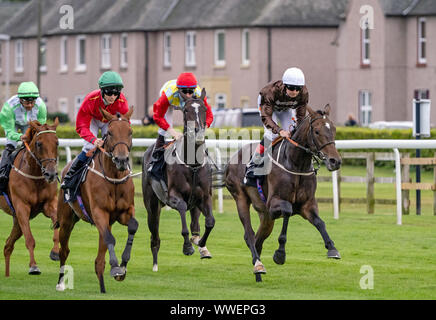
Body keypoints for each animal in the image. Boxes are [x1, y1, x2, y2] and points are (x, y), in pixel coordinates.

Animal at [0, 119, 60, 276]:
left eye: (57, 142)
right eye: (39, 143)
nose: (51, 174)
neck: (35, 176)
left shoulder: (49, 204)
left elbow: (56, 223)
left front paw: (55, 252)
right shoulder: (22, 207)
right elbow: (29, 239)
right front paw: (33, 266)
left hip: (16, 221)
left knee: (8, 245)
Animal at [55, 107, 138, 292]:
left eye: (130, 132)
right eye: (110, 133)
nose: (121, 160)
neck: (114, 179)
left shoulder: (124, 212)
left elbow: (133, 227)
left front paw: (122, 267)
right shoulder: (99, 212)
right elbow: (110, 239)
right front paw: (116, 268)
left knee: (99, 258)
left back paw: (102, 286)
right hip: (66, 220)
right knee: (64, 250)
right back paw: (61, 283)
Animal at [143, 88, 216, 272]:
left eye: (204, 109)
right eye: (186, 110)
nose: (198, 132)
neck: (192, 164)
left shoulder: (204, 197)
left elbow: (210, 221)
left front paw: (201, 244)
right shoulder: (173, 197)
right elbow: (182, 209)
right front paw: (187, 247)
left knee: (195, 222)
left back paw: (199, 243)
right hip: (152, 206)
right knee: (154, 235)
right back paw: (155, 264)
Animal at [227, 104, 342, 282]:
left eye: (334, 129)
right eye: (316, 131)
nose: (335, 161)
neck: (296, 164)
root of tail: (233, 157)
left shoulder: (306, 205)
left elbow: (320, 222)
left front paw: (332, 248)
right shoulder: (275, 203)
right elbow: (287, 211)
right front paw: (280, 254)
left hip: (266, 217)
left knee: (259, 239)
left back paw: (258, 272)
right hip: (240, 198)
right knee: (249, 235)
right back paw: (258, 265)